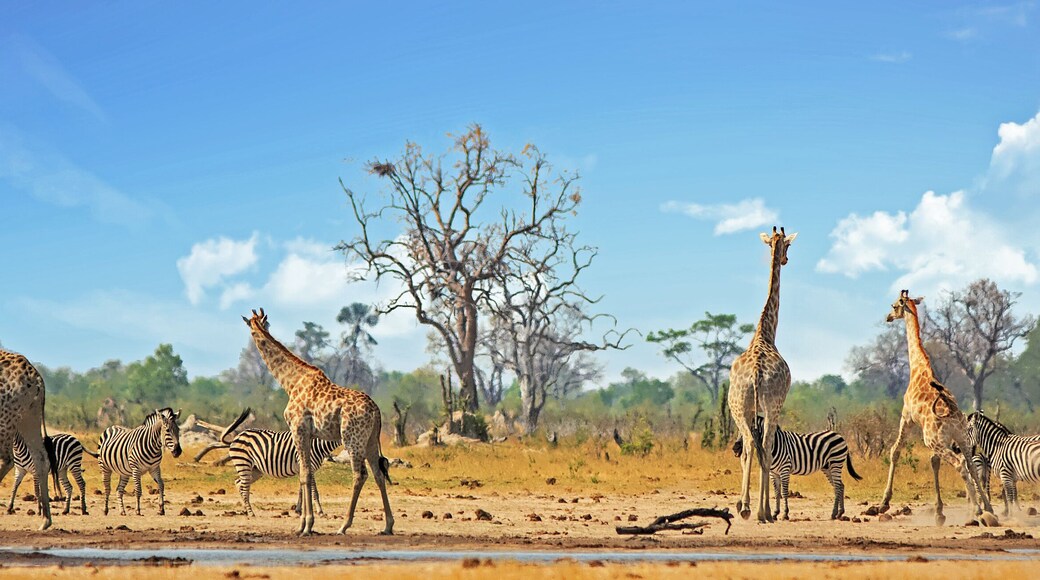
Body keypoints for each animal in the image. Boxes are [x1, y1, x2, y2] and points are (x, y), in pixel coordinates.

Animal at [0, 349, 52, 530]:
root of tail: (37, 379)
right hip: (29, 416)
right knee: (41, 459)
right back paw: (45, 521)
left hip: (8, 417)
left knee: (7, 459)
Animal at [194, 408, 342, 516]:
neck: (317, 443)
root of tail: (236, 437)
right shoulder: (308, 466)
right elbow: (313, 491)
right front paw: (320, 511)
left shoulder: (304, 469)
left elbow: (302, 489)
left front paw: (299, 510)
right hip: (244, 464)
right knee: (243, 486)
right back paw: (250, 512)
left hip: (255, 470)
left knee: (238, 483)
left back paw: (245, 509)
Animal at [243, 308, 393, 536]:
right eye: (264, 324)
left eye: (252, 329)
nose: (257, 336)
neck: (291, 383)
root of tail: (376, 411)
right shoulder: (308, 434)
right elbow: (306, 474)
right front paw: (304, 523)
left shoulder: (298, 429)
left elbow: (304, 474)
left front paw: (305, 525)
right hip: (370, 440)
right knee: (378, 473)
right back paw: (387, 526)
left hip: (352, 438)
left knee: (360, 474)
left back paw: (344, 525)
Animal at [732, 417, 862, 520]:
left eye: (747, 431)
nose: (735, 448)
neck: (774, 445)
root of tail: (840, 436)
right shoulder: (773, 473)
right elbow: (777, 492)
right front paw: (775, 513)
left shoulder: (784, 470)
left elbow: (784, 492)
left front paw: (785, 514)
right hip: (828, 467)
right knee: (840, 486)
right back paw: (840, 513)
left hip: (836, 463)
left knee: (838, 486)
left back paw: (834, 513)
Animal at [878, 290, 998, 526]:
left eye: (894, 305)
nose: (888, 317)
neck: (917, 367)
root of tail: (952, 414)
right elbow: (934, 462)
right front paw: (939, 512)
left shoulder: (906, 416)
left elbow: (895, 450)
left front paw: (884, 502)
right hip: (960, 438)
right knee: (970, 465)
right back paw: (988, 508)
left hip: (935, 440)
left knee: (960, 464)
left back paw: (978, 510)